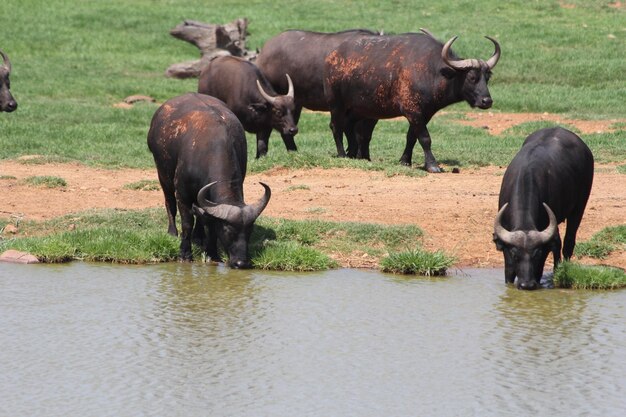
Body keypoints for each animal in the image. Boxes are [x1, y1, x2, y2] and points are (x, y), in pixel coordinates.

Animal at [149, 92, 272, 268]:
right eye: (228, 230)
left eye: (249, 230)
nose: (241, 262)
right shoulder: (182, 195)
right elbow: (187, 223)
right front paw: (185, 254)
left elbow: (210, 223)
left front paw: (212, 254)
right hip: (163, 174)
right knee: (169, 202)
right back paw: (172, 232)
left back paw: (199, 237)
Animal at [324, 29, 500, 171]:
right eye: (472, 77)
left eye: (487, 77)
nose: (487, 101)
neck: (432, 71)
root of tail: (333, 56)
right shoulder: (412, 111)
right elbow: (425, 138)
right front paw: (432, 165)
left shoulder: (425, 113)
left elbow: (412, 137)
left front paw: (405, 161)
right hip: (337, 105)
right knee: (336, 127)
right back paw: (342, 154)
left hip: (358, 110)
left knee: (350, 127)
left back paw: (356, 155)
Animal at [492, 127, 588, 290]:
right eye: (515, 254)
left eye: (536, 254)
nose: (526, 284)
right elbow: (509, 271)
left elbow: (540, 267)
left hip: (579, 207)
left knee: (567, 242)